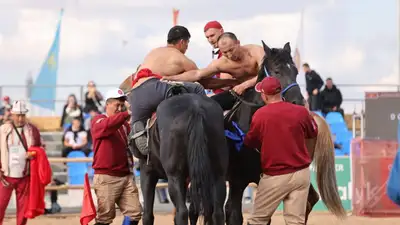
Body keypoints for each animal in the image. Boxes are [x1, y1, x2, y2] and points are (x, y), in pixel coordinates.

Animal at [132, 92, 228, 225]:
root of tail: (195, 108)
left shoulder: (147, 171)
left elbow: (147, 214)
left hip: (174, 175)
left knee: (182, 212)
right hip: (217, 174)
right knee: (217, 212)